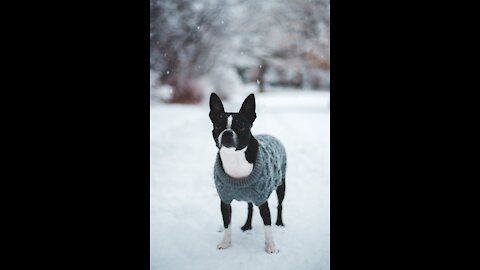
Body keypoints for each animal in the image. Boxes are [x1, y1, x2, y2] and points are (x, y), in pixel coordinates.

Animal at [209, 92, 284, 253]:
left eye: (241, 127)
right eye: (218, 126)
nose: (227, 132)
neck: (235, 157)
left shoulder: (262, 200)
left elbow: (267, 226)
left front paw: (271, 246)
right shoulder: (225, 200)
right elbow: (227, 224)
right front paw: (226, 243)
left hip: (281, 185)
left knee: (280, 205)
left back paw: (280, 222)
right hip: (250, 196)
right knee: (250, 208)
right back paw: (247, 225)